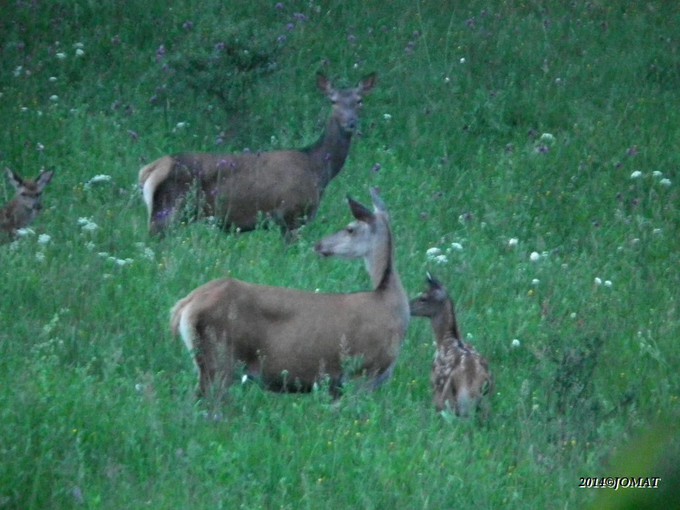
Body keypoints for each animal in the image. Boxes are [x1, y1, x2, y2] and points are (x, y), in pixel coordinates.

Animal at [138, 71, 378, 237]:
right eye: (333, 101)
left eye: (359, 100)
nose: (351, 123)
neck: (318, 170)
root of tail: (151, 169)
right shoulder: (293, 214)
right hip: (168, 211)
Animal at [170, 187, 410, 398]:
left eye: (350, 228)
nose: (319, 245)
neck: (389, 301)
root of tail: (186, 304)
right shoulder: (363, 373)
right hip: (219, 358)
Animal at [410, 274, 494, 418]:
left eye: (423, 298)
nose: (408, 307)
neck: (447, 340)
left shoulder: (435, 382)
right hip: (485, 399)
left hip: (448, 397)